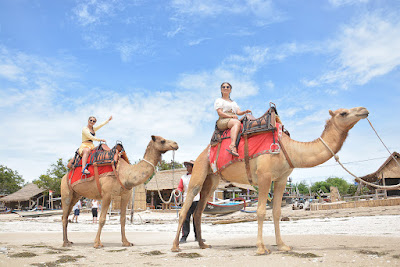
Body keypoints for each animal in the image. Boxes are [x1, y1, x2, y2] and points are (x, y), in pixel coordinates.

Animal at [171, 107, 368, 255]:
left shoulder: (281, 179)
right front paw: (261, 248)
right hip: (199, 170)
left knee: (198, 211)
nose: (364, 110)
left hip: (212, 179)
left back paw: (203, 245)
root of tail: (203, 152)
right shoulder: (264, 176)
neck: (289, 148)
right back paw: (175, 246)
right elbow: (260, 211)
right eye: (343, 113)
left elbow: (276, 212)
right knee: (185, 209)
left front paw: (282, 245)